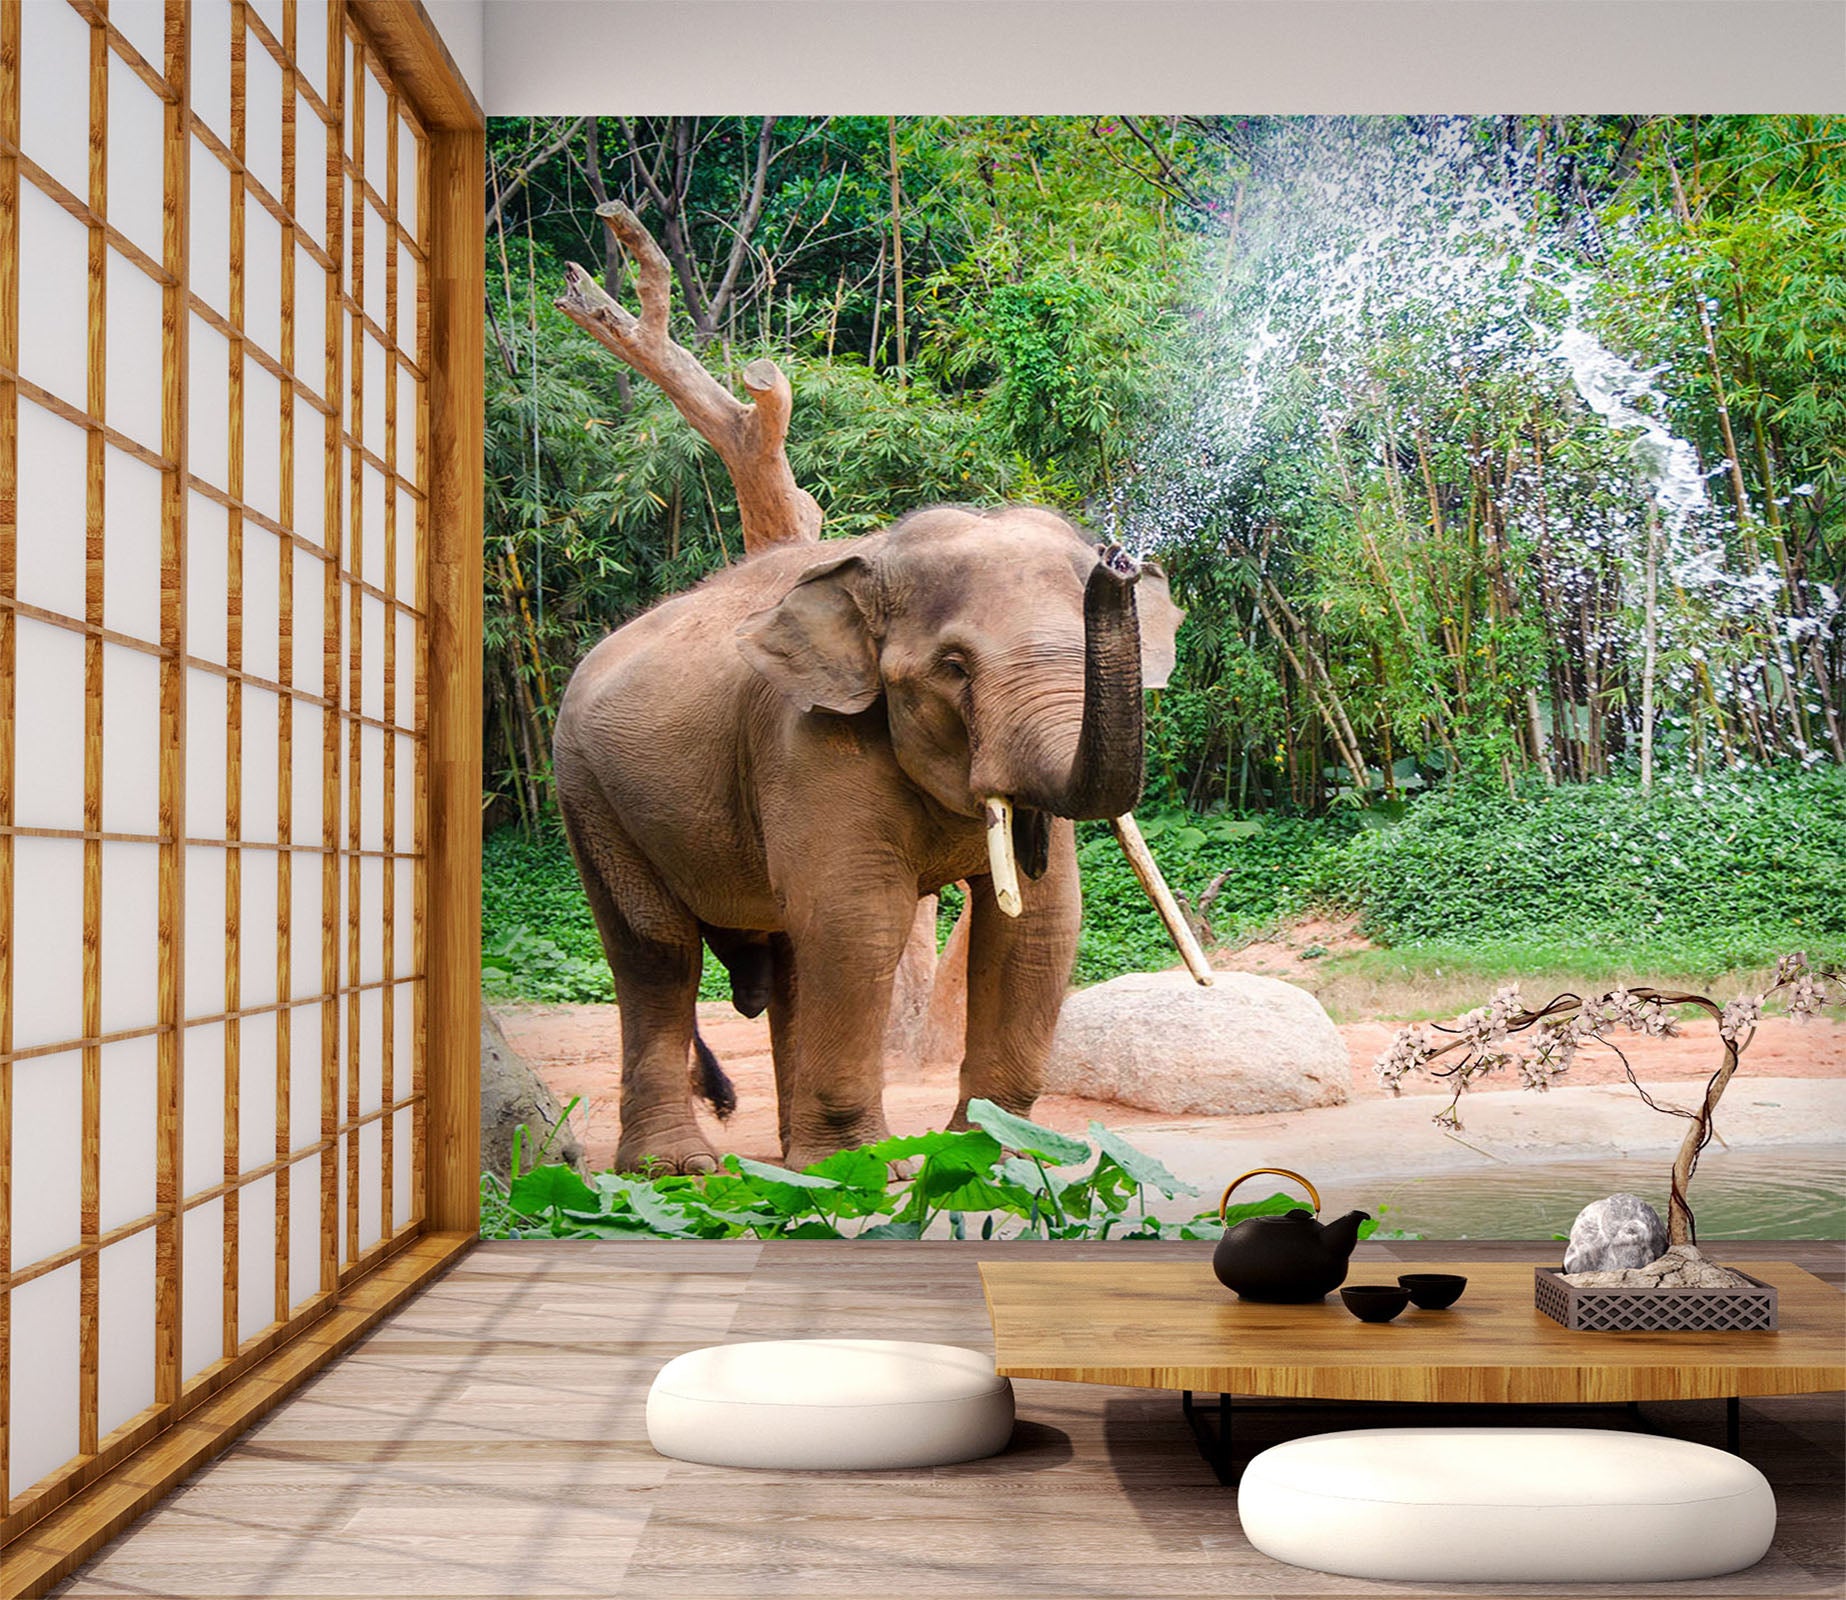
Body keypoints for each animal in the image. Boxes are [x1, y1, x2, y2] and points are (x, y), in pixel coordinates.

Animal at [552, 503, 1184, 1173]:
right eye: (953, 667)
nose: (1119, 562)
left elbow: (1037, 924)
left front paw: (994, 1157)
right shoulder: (805, 740)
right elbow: (858, 919)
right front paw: (862, 1166)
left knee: (789, 960)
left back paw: (793, 1162)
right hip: (589, 794)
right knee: (658, 953)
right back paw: (679, 1167)